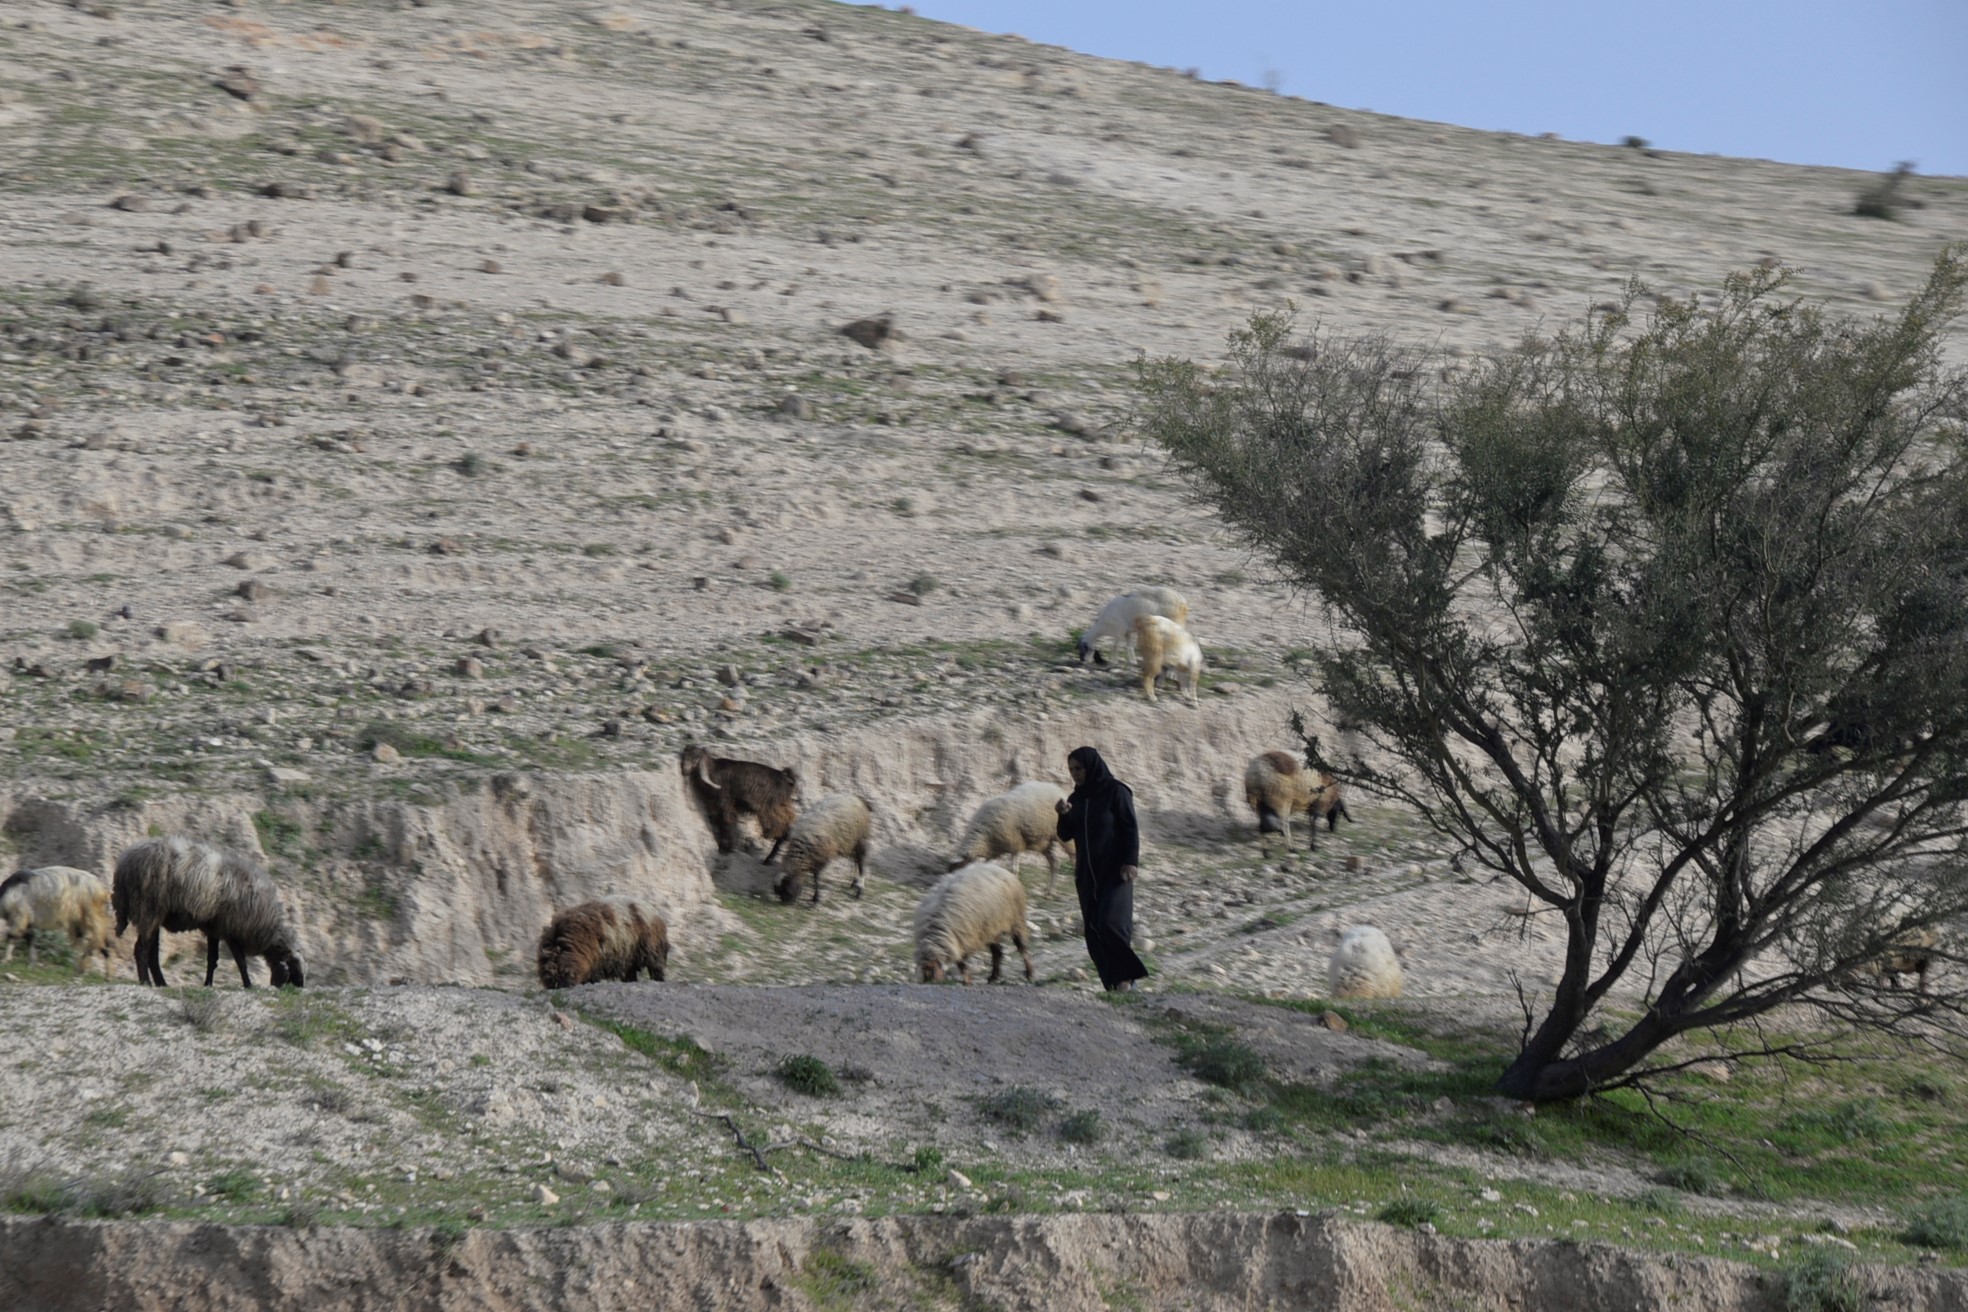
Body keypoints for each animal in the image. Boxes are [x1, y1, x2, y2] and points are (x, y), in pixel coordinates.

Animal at [111, 837, 304, 989]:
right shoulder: (231, 929)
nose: (298, 990)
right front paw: (248, 985)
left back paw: (162, 983)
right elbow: (240, 961)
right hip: (148, 909)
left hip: (155, 913)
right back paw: (146, 982)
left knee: (152, 954)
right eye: (295, 969)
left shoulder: (215, 928)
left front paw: (208, 984)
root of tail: (124, 864)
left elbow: (212, 959)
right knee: (141, 949)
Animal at [537, 898, 670, 988]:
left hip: (653, 951)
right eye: (552, 981)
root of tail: (654, 911)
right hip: (629, 957)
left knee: (656, 968)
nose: (560, 987)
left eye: (563, 975)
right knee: (630, 973)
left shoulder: (596, 962)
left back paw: (658, 980)